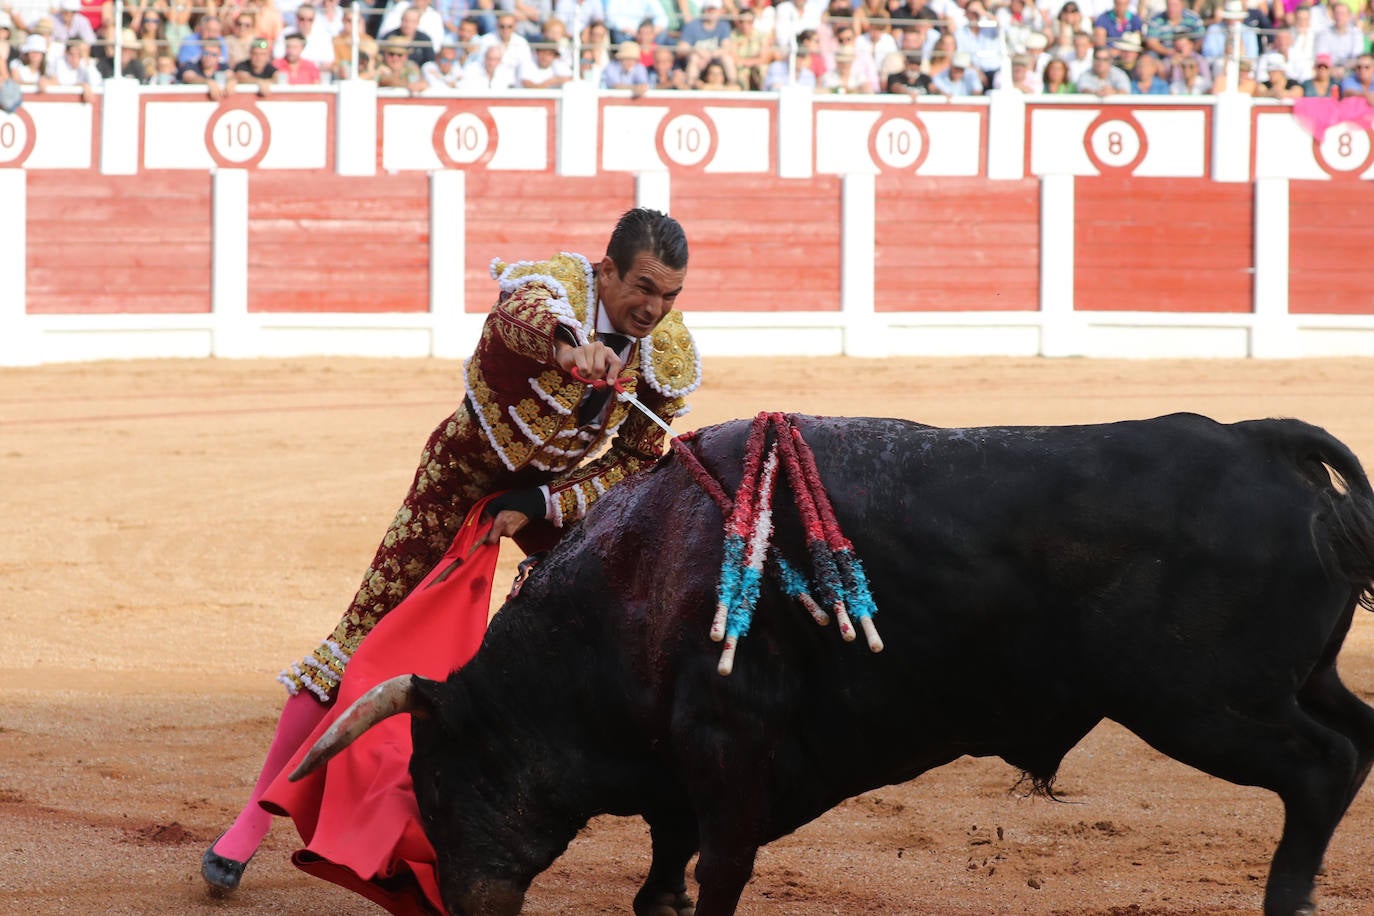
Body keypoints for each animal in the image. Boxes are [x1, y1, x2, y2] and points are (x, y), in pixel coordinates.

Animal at [292, 414, 1374, 916]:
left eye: (438, 779)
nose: (458, 902)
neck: (639, 576)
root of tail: (1257, 442)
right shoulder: (680, 770)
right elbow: (664, 869)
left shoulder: (729, 755)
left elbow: (715, 869)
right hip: (1292, 683)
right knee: (1355, 740)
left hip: (1204, 705)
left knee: (1320, 768)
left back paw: (1286, 898)